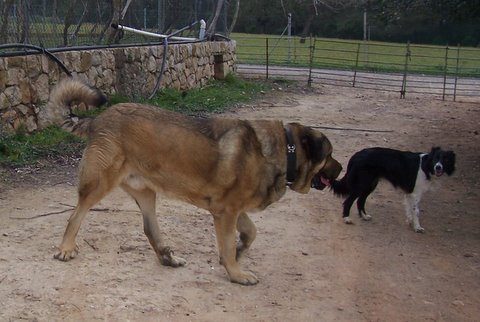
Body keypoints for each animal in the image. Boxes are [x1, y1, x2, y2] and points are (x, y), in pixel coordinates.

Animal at [49, 78, 342, 284]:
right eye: (329, 155)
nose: (341, 170)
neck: (286, 150)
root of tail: (97, 119)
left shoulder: (231, 210)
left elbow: (251, 233)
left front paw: (239, 252)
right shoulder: (226, 212)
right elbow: (228, 243)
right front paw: (236, 272)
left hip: (146, 192)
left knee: (149, 228)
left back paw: (167, 257)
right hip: (99, 183)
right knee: (75, 215)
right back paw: (66, 248)